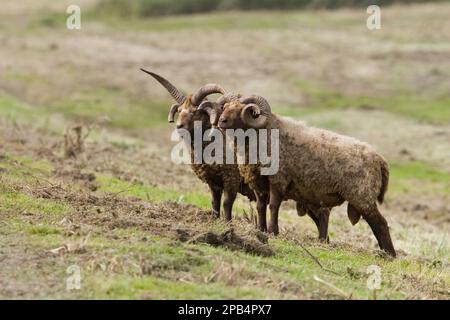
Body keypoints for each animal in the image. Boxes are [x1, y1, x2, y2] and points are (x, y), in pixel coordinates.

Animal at [139, 69, 255, 222]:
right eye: (179, 110)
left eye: (195, 112)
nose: (179, 126)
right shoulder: (213, 182)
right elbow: (214, 202)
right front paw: (215, 220)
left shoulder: (232, 179)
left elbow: (227, 203)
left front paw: (227, 223)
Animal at [216, 95, 396, 258]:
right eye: (225, 107)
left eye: (240, 110)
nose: (221, 121)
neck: (265, 134)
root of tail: (380, 159)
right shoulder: (259, 184)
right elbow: (261, 208)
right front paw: (261, 230)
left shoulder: (278, 181)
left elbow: (273, 206)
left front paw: (274, 232)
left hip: (362, 196)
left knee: (380, 224)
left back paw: (389, 254)